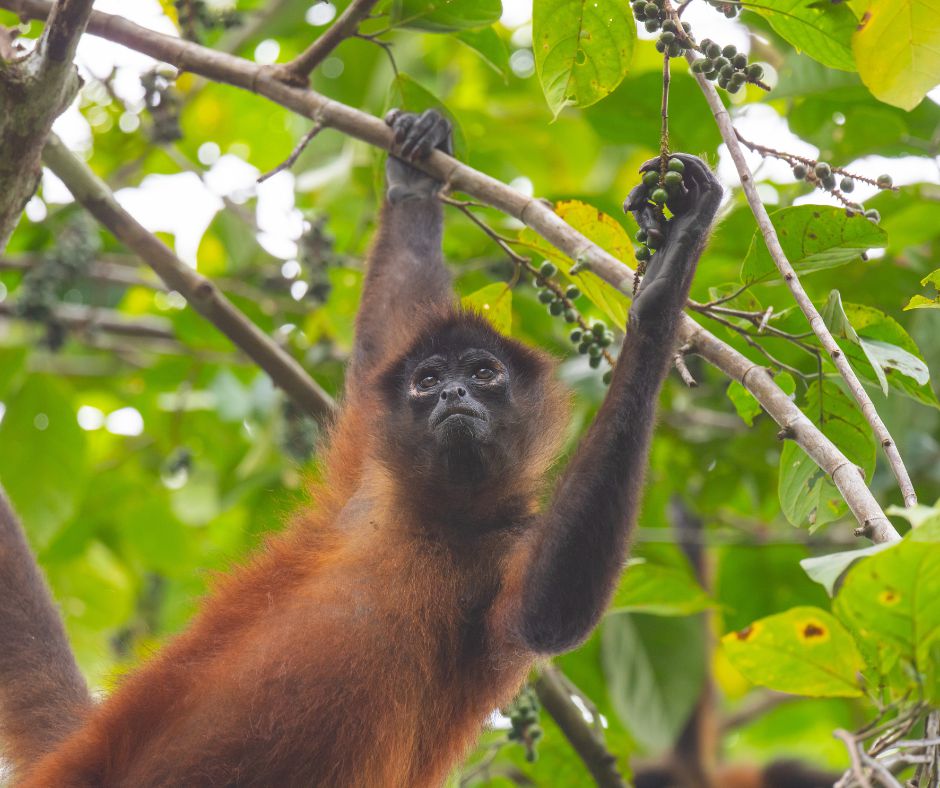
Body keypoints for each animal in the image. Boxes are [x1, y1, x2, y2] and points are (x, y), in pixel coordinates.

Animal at [1, 108, 722, 786]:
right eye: (428, 381)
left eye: (483, 373)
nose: (453, 393)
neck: (442, 517)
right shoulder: (370, 481)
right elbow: (382, 341)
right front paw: (414, 181)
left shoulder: (509, 540)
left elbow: (551, 609)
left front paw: (662, 293)